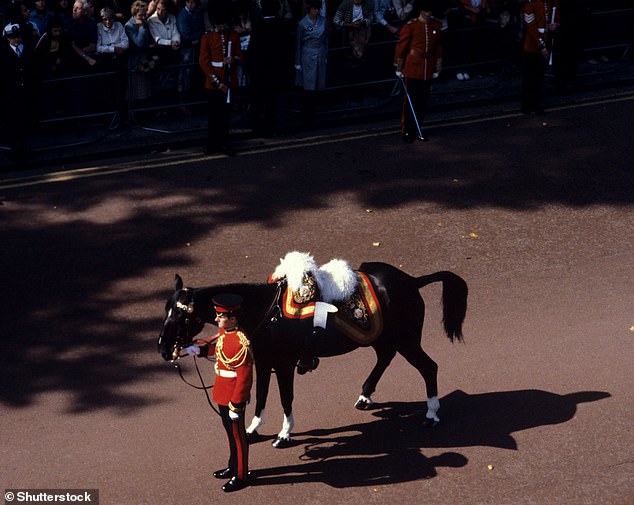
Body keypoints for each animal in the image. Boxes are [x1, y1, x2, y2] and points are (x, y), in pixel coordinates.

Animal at [157, 262, 464, 446]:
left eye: (183, 316)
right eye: (166, 311)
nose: (162, 348)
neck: (266, 310)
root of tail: (411, 281)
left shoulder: (283, 363)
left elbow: (285, 397)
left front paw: (284, 433)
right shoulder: (264, 361)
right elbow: (261, 395)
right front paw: (253, 428)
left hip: (407, 341)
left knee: (429, 367)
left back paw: (432, 413)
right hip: (385, 339)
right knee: (385, 357)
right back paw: (365, 395)